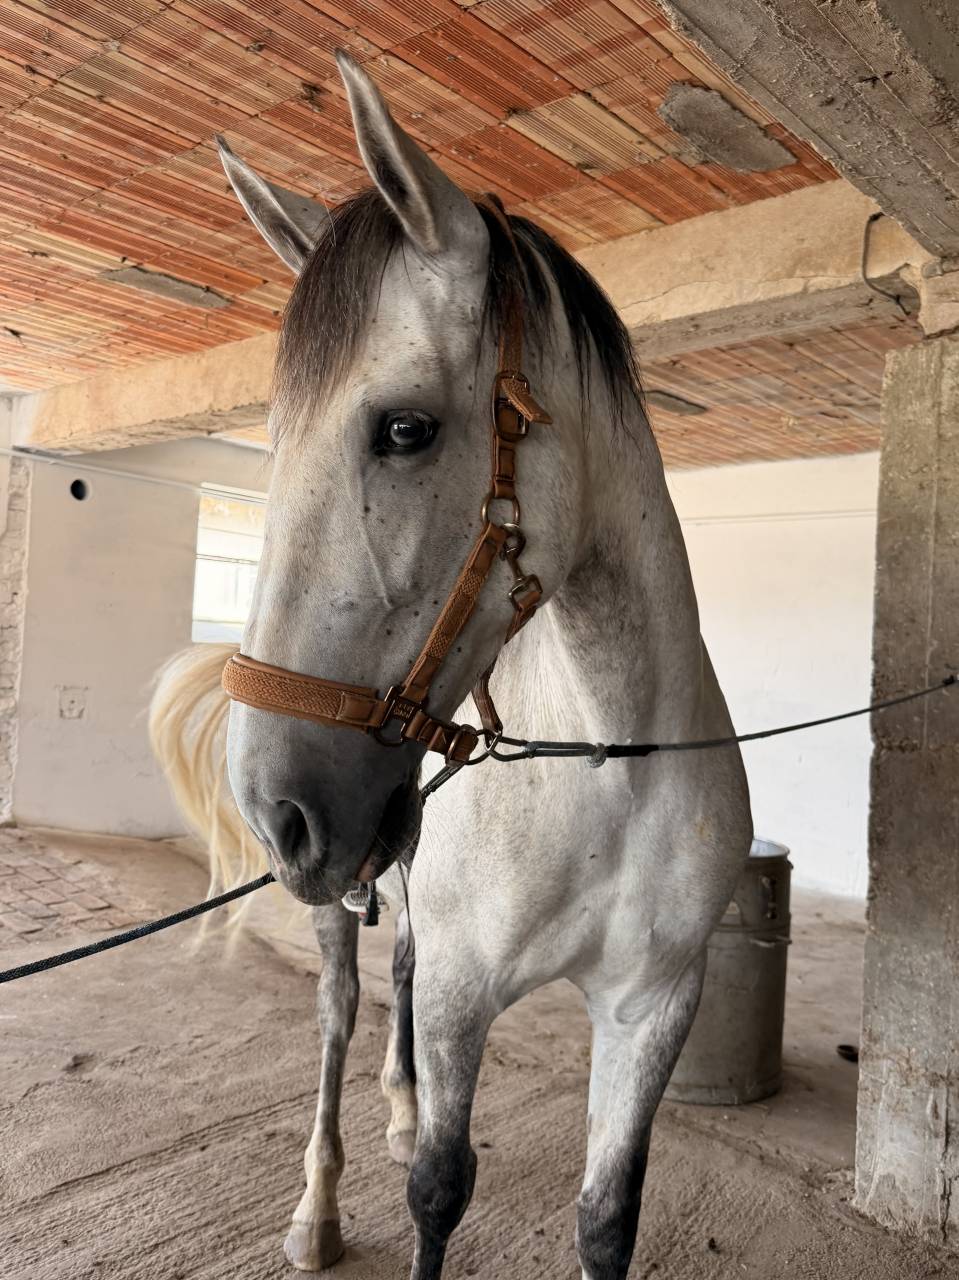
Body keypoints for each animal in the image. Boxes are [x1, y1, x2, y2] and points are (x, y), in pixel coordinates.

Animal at [153, 50, 752, 1280]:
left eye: (402, 429)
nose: (276, 810)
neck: (610, 756)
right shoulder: (468, 994)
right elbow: (438, 1187)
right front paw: (381, 1172)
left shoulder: (652, 1007)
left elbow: (606, 1218)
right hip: (342, 904)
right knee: (341, 1010)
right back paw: (319, 1202)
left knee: (397, 976)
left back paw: (390, 1106)